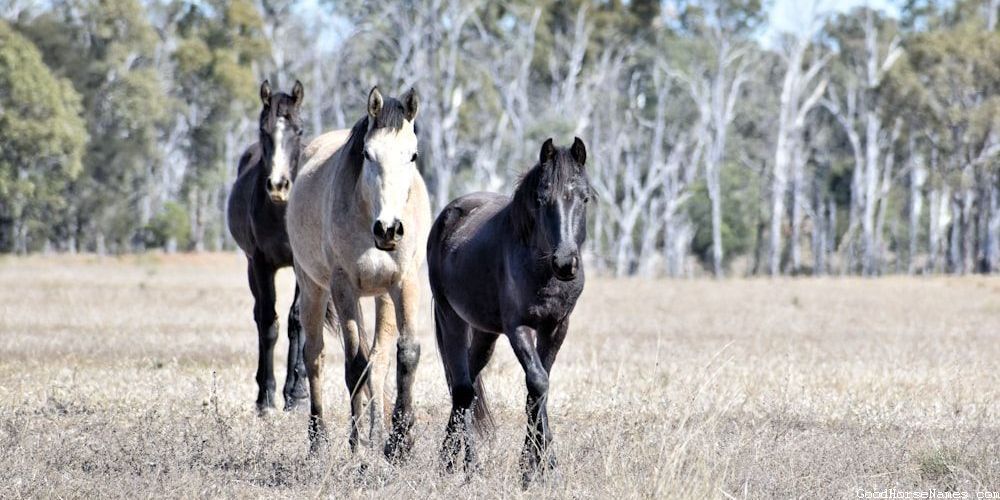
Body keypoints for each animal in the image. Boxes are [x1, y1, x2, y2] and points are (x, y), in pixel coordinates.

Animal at [227, 79, 316, 413]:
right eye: (263, 130)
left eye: (299, 130)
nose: (278, 185)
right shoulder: (261, 263)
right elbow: (268, 322)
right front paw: (266, 396)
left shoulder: (304, 264)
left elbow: (297, 321)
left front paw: (298, 393)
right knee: (259, 315)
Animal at [286, 86, 430, 460]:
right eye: (367, 154)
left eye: (413, 155)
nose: (389, 229)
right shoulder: (344, 287)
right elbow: (353, 365)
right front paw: (358, 446)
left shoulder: (403, 283)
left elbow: (404, 354)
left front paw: (399, 442)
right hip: (313, 288)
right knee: (315, 357)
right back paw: (319, 442)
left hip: (381, 297)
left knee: (377, 362)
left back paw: (377, 433)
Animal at [427, 137, 591, 483]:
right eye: (541, 200)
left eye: (584, 198)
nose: (565, 263)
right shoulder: (519, 328)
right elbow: (538, 383)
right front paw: (546, 464)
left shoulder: (557, 327)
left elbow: (538, 389)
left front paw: (531, 467)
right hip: (451, 318)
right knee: (462, 389)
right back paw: (466, 467)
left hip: (485, 334)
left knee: (468, 384)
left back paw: (450, 461)